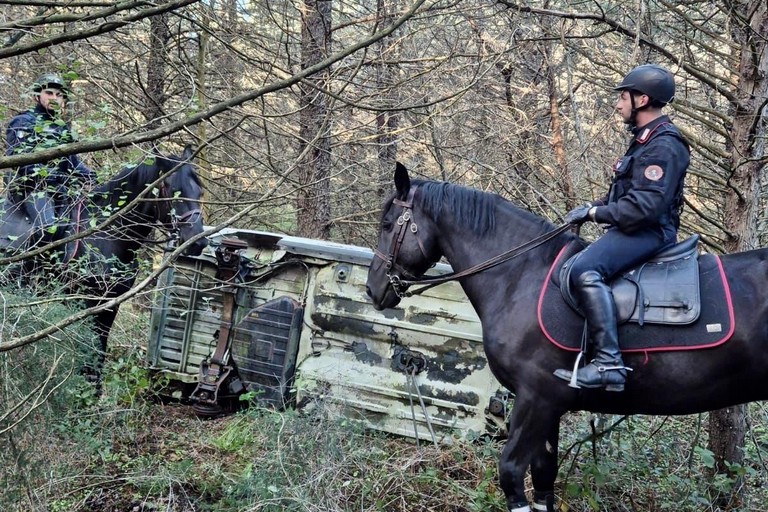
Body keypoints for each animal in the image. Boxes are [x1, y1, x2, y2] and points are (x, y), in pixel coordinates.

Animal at [0, 146, 207, 384]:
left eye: (199, 192)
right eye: (173, 190)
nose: (199, 242)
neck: (104, 234)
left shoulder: (110, 304)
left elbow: (99, 351)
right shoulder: (85, 302)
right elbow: (89, 349)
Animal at [365, 162, 768, 512]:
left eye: (387, 223)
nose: (373, 289)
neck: (520, 276)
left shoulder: (536, 398)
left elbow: (511, 473)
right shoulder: (550, 406)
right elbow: (545, 478)